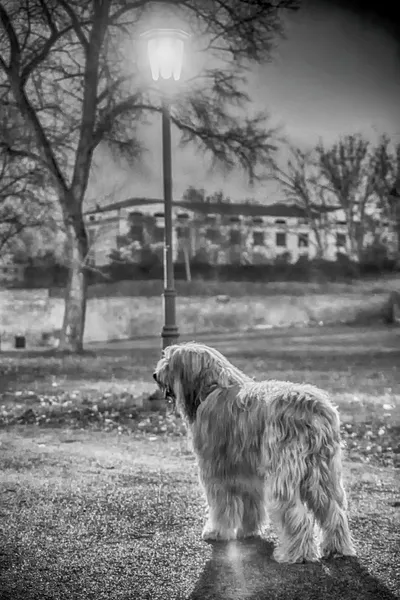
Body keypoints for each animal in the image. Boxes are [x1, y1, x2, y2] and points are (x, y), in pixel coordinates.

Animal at [153, 342, 356, 564]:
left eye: (169, 363)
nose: (155, 375)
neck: (213, 386)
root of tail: (311, 408)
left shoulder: (216, 469)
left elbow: (221, 506)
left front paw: (217, 532)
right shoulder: (248, 471)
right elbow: (252, 503)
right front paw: (248, 531)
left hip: (286, 471)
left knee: (296, 513)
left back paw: (296, 555)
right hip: (324, 470)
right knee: (334, 510)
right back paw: (337, 548)